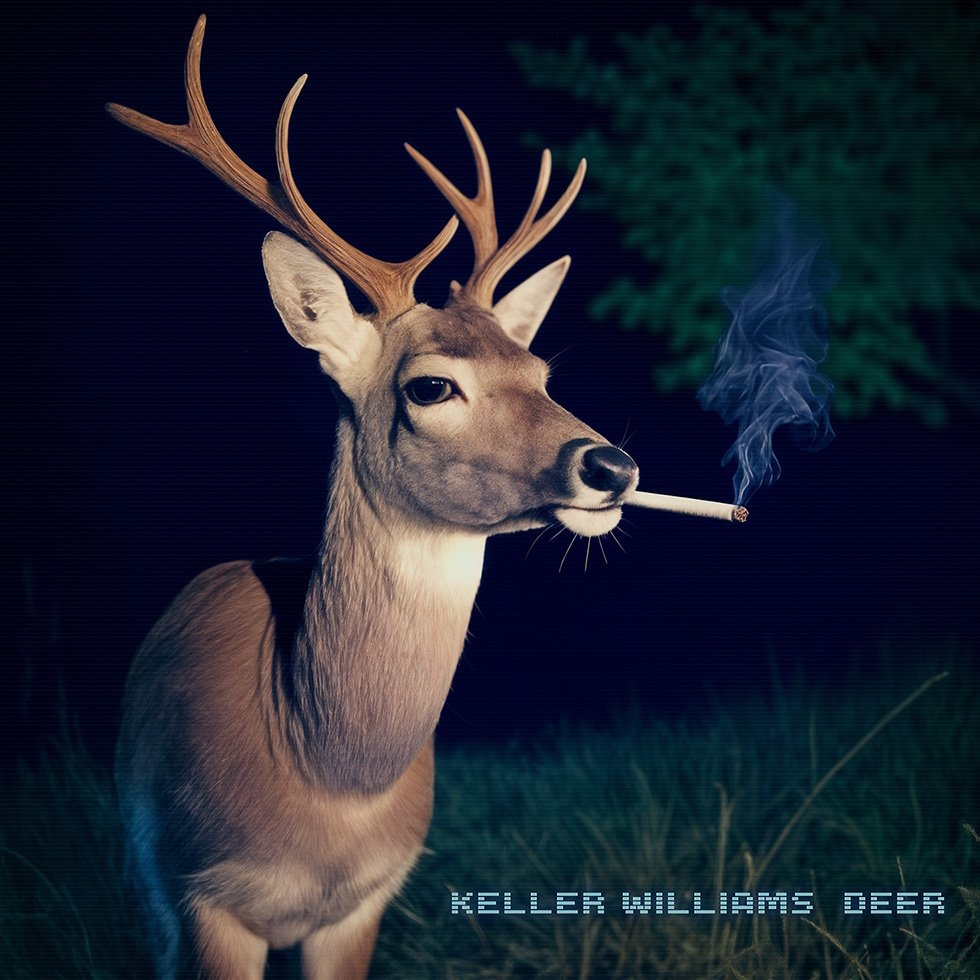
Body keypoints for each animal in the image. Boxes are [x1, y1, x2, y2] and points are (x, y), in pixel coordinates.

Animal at [109, 16, 638, 980]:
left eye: (541, 372)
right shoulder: (200, 895)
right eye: (431, 387)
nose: (612, 465)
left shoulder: (366, 903)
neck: (324, 779)